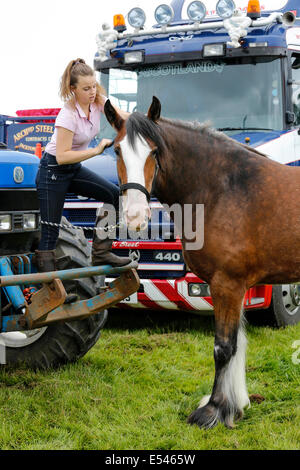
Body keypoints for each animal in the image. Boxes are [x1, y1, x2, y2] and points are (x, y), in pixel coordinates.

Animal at [103, 96, 300, 430]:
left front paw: (214, 410)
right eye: (116, 150)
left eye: (153, 151)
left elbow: (224, 348)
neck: (223, 189)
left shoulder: (228, 285)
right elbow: (236, 344)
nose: (135, 216)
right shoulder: (231, 288)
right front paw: (234, 405)